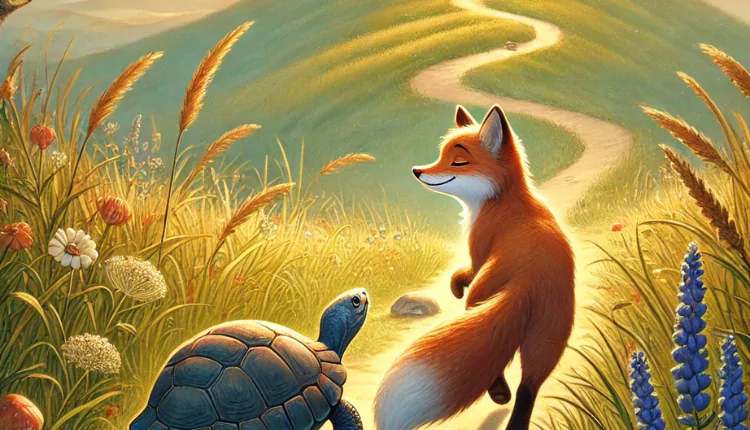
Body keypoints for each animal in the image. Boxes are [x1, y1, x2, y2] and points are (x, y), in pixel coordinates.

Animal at [374, 104, 575, 430]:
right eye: (440, 155)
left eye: (458, 161)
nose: (418, 171)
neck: (504, 200)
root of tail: (530, 280)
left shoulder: (478, 252)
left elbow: (463, 272)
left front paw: (455, 285)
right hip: (549, 341)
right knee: (528, 387)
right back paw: (508, 406)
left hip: (482, 301)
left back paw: (498, 393)